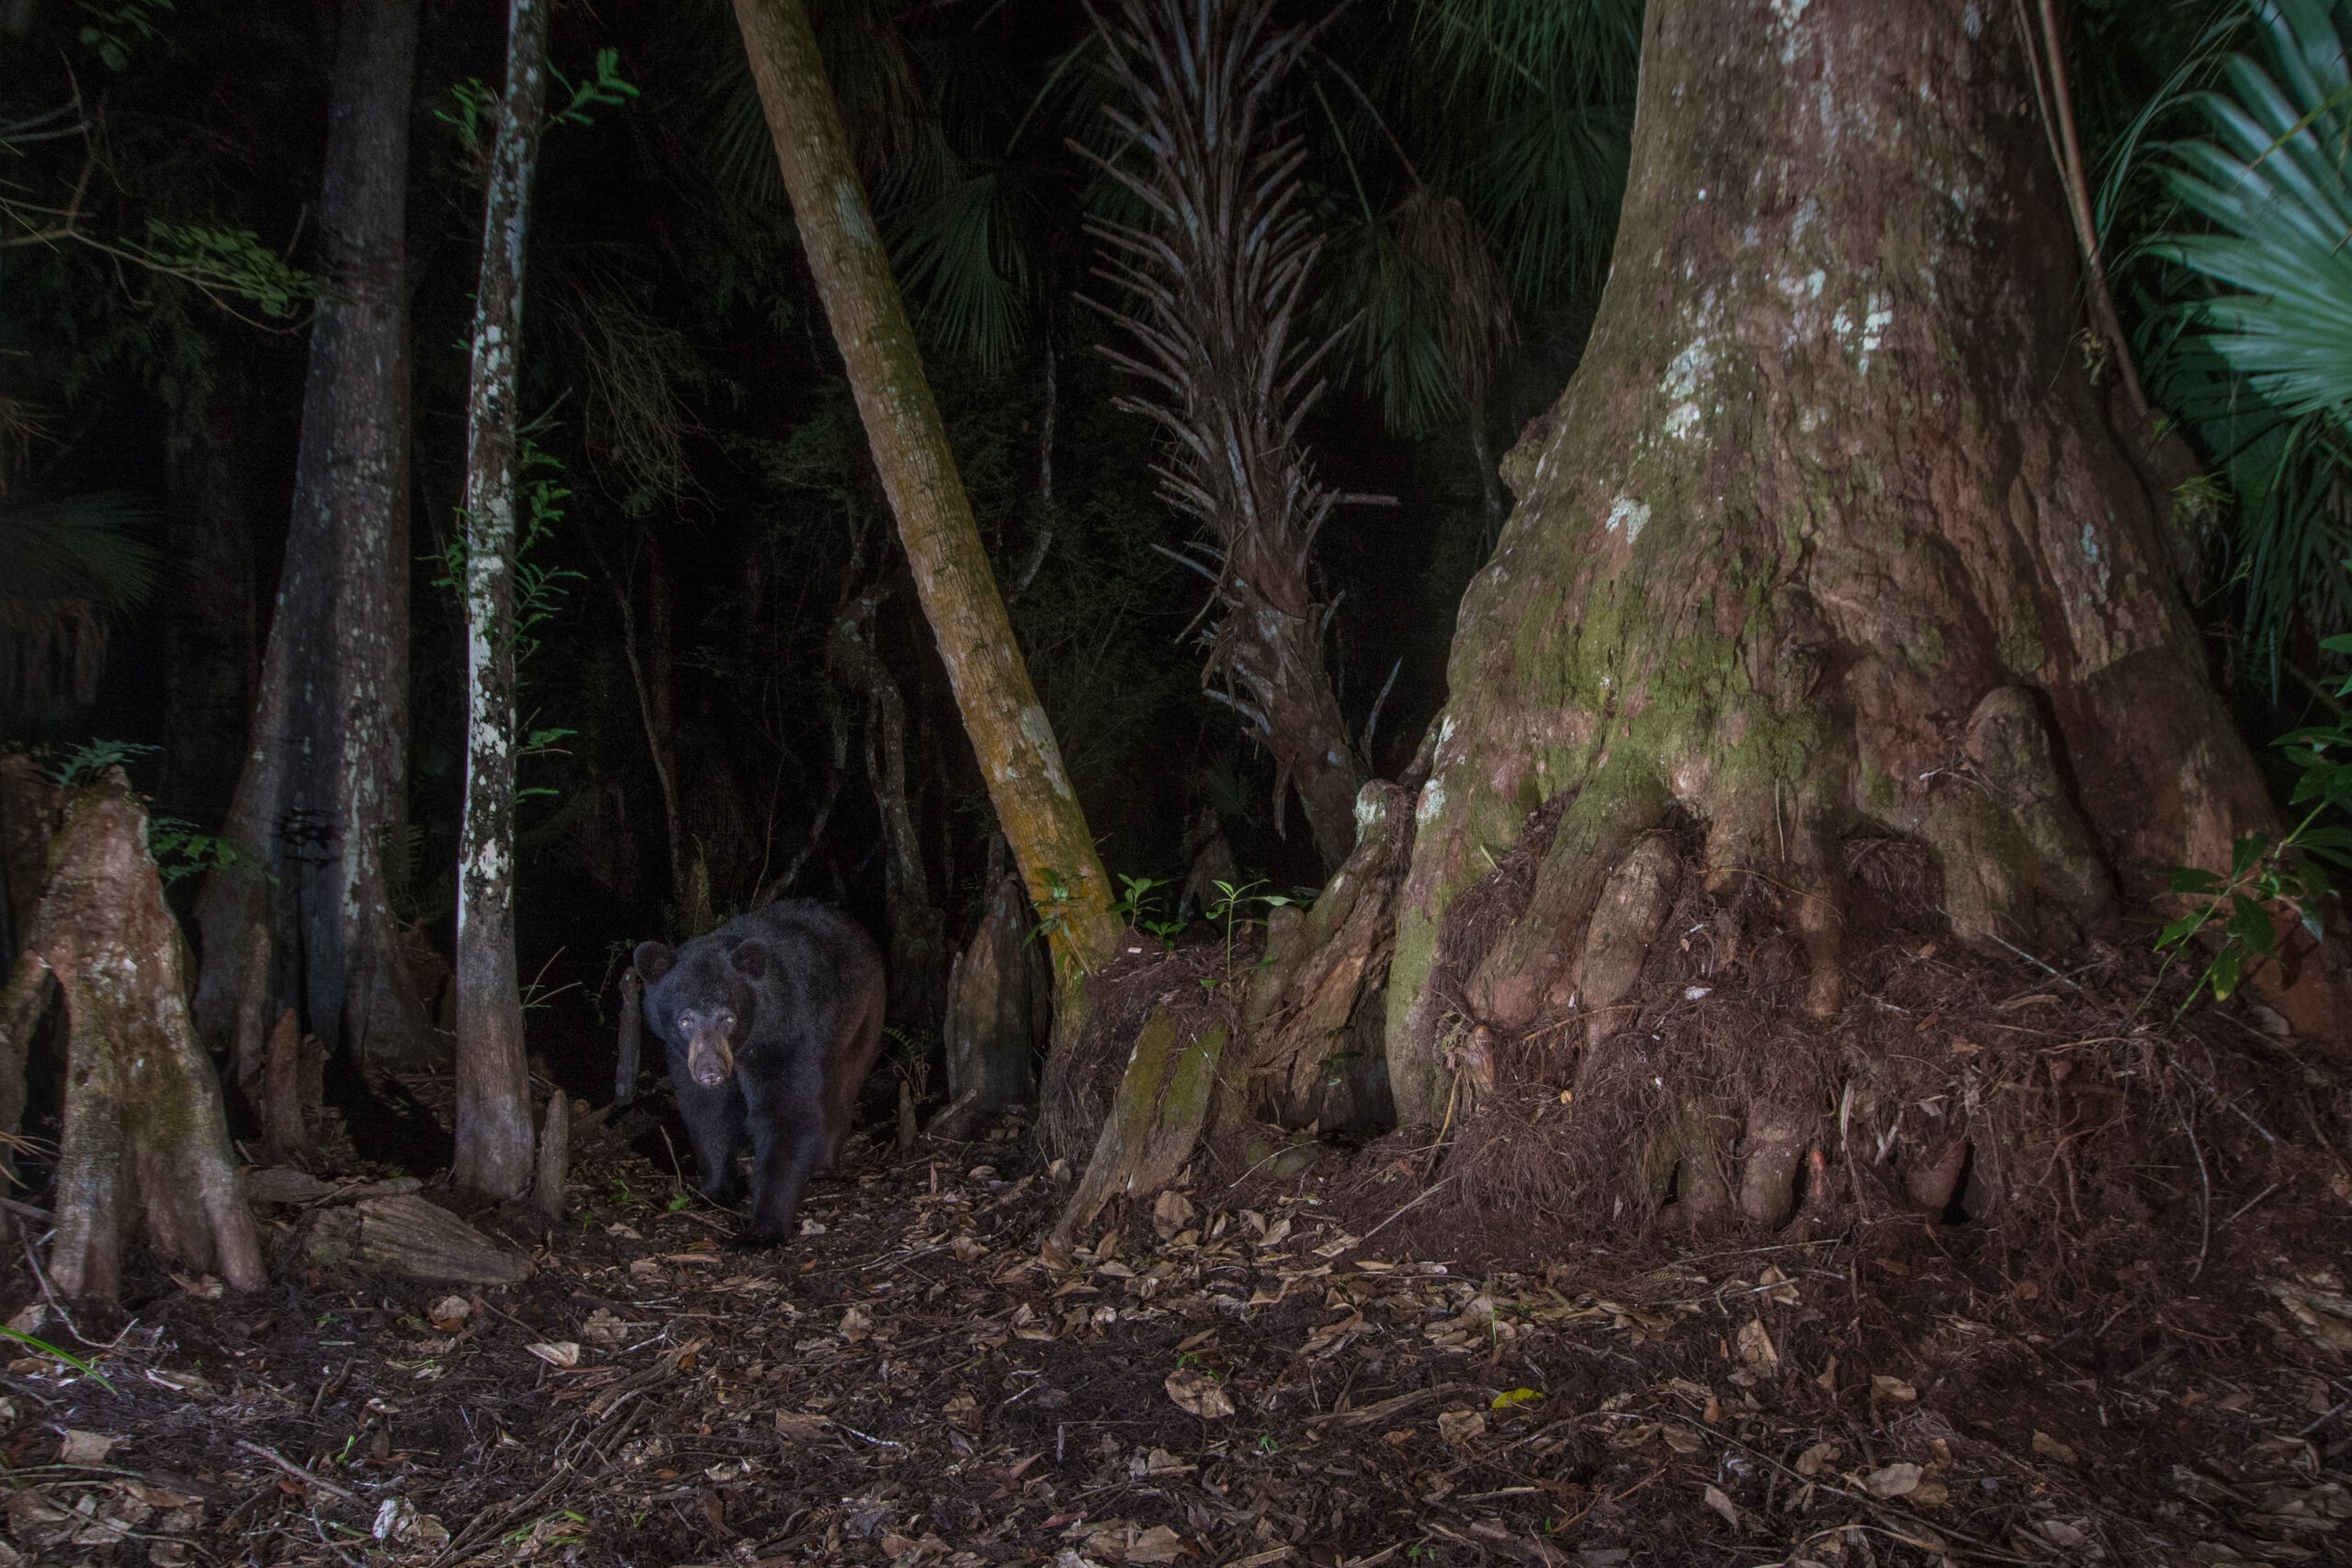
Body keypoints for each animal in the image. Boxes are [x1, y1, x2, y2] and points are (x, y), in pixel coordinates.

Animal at [630, 902, 884, 1241]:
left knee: (840, 1088)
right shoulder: (681, 1055)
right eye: (685, 1019)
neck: (744, 1047)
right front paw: (714, 1191)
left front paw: (763, 1228)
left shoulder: (783, 1039)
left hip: (862, 1016)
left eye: (728, 1018)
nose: (711, 1070)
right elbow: (708, 1111)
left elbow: (786, 1112)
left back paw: (823, 1165)